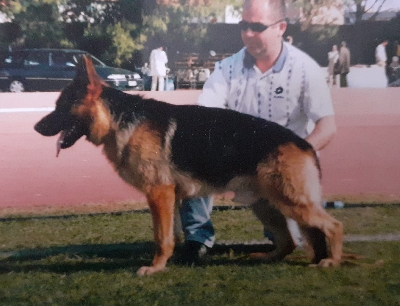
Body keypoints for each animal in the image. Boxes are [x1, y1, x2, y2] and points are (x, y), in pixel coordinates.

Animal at [34, 56, 342, 276]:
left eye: (60, 106)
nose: (36, 128)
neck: (118, 119)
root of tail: (304, 144)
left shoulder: (159, 193)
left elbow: (161, 236)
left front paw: (155, 268)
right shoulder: (170, 197)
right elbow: (172, 235)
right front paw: (170, 260)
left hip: (290, 202)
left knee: (333, 225)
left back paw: (332, 261)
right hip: (266, 204)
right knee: (288, 240)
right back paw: (269, 257)